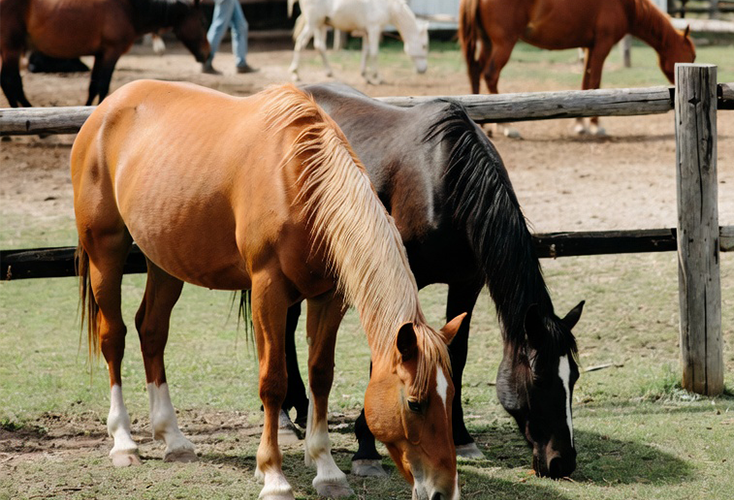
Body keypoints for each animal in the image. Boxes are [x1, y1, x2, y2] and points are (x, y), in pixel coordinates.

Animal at [0, 0, 209, 107]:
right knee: (11, 82)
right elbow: (103, 85)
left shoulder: (100, 55)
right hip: (11, 48)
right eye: (202, 21)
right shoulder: (111, 52)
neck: (129, 8)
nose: (207, 53)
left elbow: (93, 86)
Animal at [71, 80, 463, 500]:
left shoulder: (328, 297)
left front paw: (326, 470)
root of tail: (108, 108)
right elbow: (273, 382)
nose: (444, 491)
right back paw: (124, 442)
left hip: (164, 260)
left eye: (451, 397)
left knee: (152, 331)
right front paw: (274, 476)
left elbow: (320, 375)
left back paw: (173, 439)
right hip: (105, 250)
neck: (298, 180)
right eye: (415, 403)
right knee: (114, 337)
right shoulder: (267, 290)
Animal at [276, 82, 584, 479]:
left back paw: (301, 407)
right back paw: (283, 420)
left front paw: (461, 437)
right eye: (539, 378)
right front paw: (366, 449)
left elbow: (457, 355)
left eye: (573, 377)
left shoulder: (468, 282)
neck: (443, 181)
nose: (563, 461)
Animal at [287, 0, 429, 84]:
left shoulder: (366, 32)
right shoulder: (374, 29)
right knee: (301, 42)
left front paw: (365, 75)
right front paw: (378, 77)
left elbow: (366, 52)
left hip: (320, 24)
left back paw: (329, 72)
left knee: (319, 46)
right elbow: (374, 53)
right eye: (424, 46)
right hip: (313, 23)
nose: (424, 70)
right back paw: (295, 74)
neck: (388, 6)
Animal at [458, 0, 695, 137]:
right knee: (491, 75)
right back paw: (505, 126)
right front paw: (595, 125)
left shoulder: (589, 47)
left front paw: (581, 123)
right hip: (503, 44)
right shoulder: (602, 46)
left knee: (475, 72)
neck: (626, 5)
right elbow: (595, 82)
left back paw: (481, 126)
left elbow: (585, 83)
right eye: (692, 56)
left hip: (487, 43)